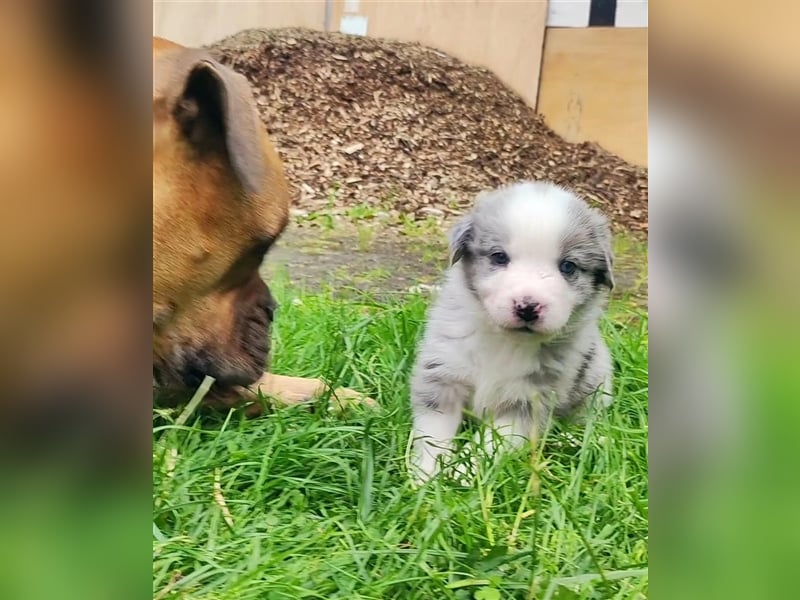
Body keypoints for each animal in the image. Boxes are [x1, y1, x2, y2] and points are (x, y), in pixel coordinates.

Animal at [410, 180, 616, 480]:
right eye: (499, 257)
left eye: (568, 266)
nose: (527, 307)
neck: (505, 342)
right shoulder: (443, 375)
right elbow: (432, 434)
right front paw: (426, 476)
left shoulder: (529, 402)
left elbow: (490, 443)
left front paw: (463, 474)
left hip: (596, 384)